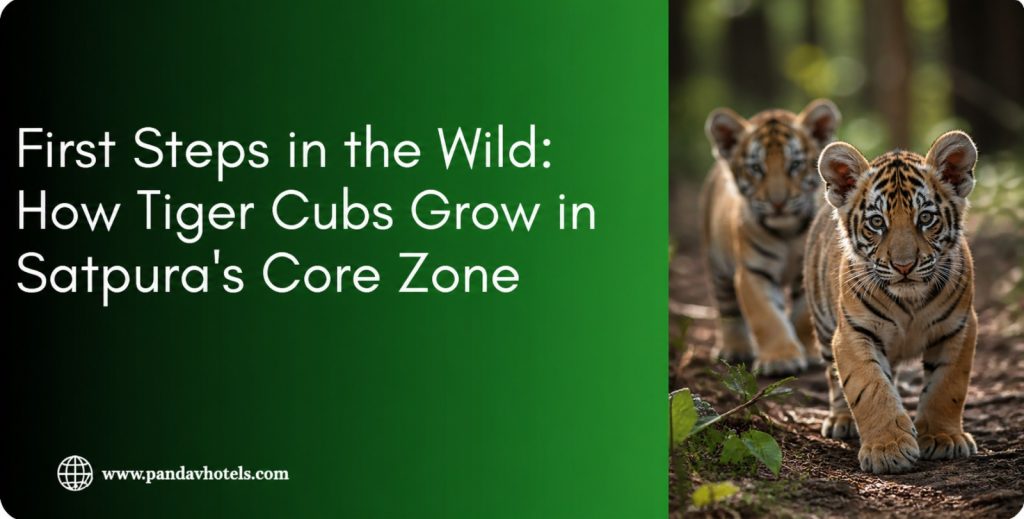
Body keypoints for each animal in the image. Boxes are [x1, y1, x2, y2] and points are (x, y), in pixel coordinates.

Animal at [700, 99, 841, 376]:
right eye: (756, 169)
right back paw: (735, 348)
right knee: (728, 310)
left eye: (795, 165)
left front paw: (808, 351)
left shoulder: (807, 269)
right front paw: (780, 359)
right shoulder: (752, 271)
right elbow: (766, 316)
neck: (787, 232)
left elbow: (801, 315)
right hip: (718, 267)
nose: (778, 203)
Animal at [804, 131, 979, 474]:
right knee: (834, 378)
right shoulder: (853, 333)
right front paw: (888, 449)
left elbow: (947, 386)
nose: (904, 266)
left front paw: (943, 438)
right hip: (823, 326)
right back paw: (842, 420)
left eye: (926, 218)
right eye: (876, 222)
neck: (910, 302)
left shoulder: (960, 328)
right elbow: (869, 387)